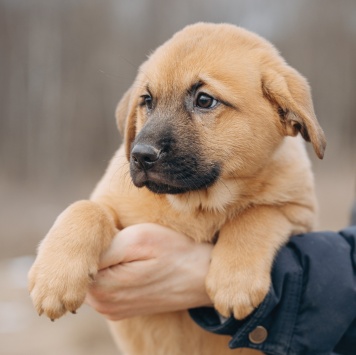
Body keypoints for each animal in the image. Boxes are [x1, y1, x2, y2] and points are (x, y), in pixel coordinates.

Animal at [29, 23, 326, 355]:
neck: (196, 203)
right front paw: (55, 279)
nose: (140, 155)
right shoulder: (111, 201)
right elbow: (85, 209)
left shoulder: (300, 212)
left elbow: (256, 216)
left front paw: (235, 281)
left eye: (205, 100)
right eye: (147, 100)